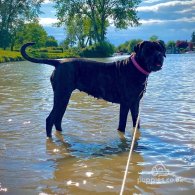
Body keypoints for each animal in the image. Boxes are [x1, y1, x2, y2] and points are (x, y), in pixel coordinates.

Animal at [20, 41, 165, 137]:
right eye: (149, 50)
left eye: (160, 49)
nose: (159, 55)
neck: (136, 68)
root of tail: (58, 62)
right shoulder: (125, 104)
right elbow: (122, 125)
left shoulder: (135, 103)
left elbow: (137, 123)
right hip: (62, 96)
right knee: (50, 119)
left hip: (63, 99)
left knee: (57, 119)